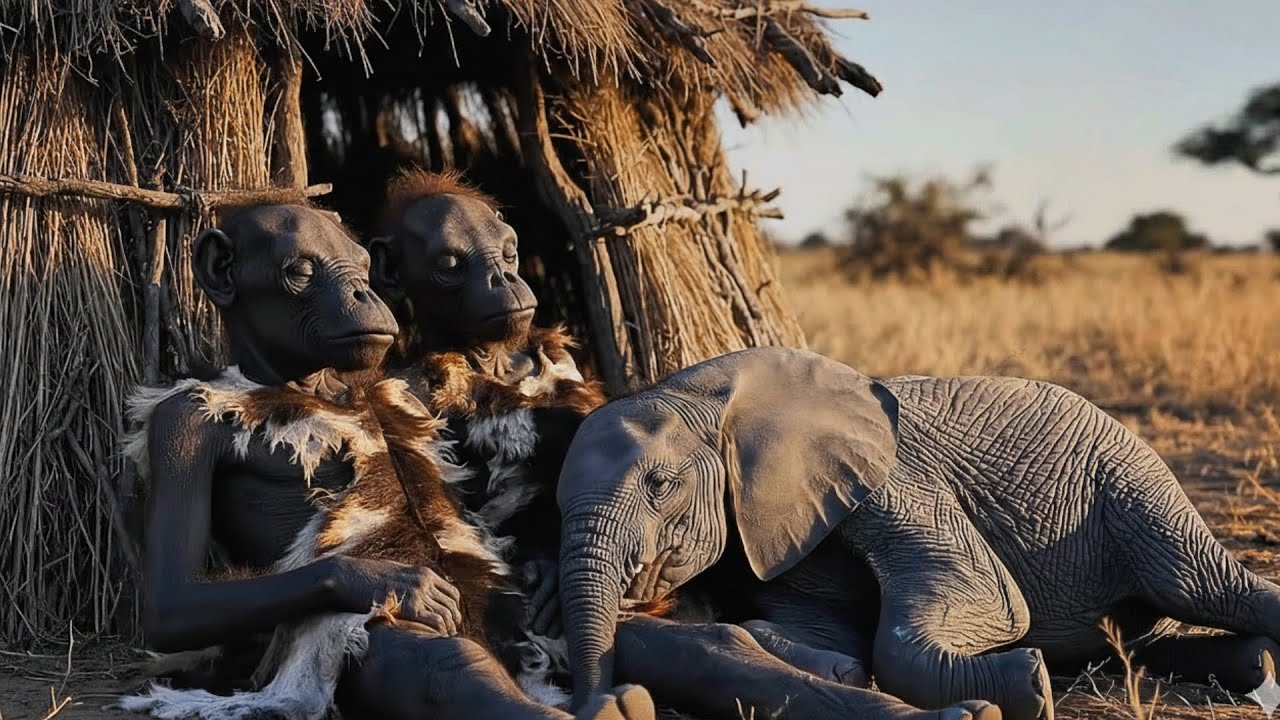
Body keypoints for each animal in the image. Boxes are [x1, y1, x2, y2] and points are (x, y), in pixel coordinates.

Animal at [554, 346, 1280, 720]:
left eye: (660, 485)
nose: (603, 700)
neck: (710, 399)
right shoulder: (779, 534)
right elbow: (824, 632)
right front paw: (843, 667)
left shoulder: (892, 479)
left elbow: (983, 601)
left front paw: (1029, 686)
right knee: (1141, 635)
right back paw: (1254, 664)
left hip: (1130, 483)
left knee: (1200, 582)